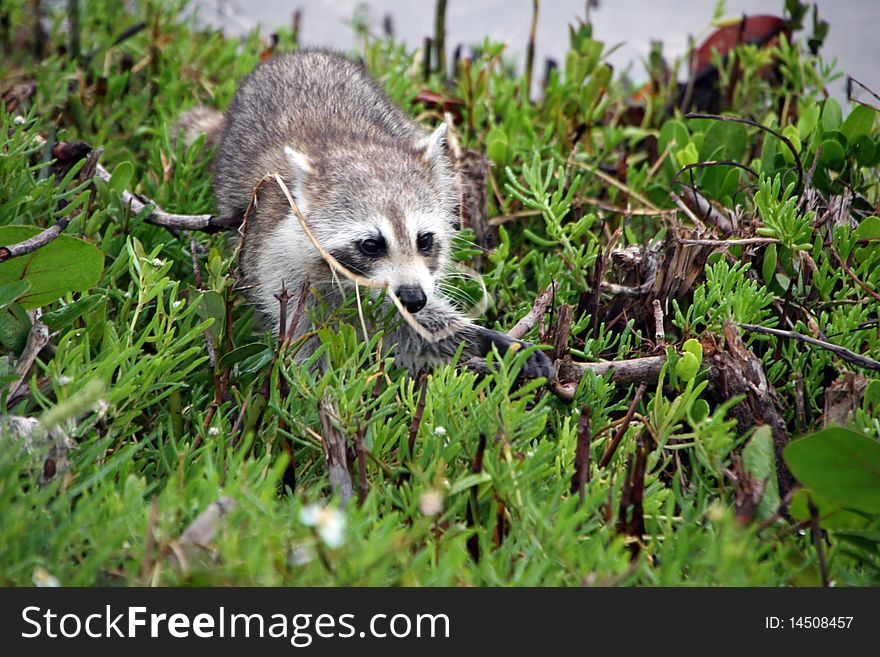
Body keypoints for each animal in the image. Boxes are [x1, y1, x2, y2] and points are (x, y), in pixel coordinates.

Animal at [203, 50, 552, 380]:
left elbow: (414, 327)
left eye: (424, 240)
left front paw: (482, 338)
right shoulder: (282, 269)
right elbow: (306, 343)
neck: (350, 148)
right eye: (371, 245)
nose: (413, 298)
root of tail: (295, 55)